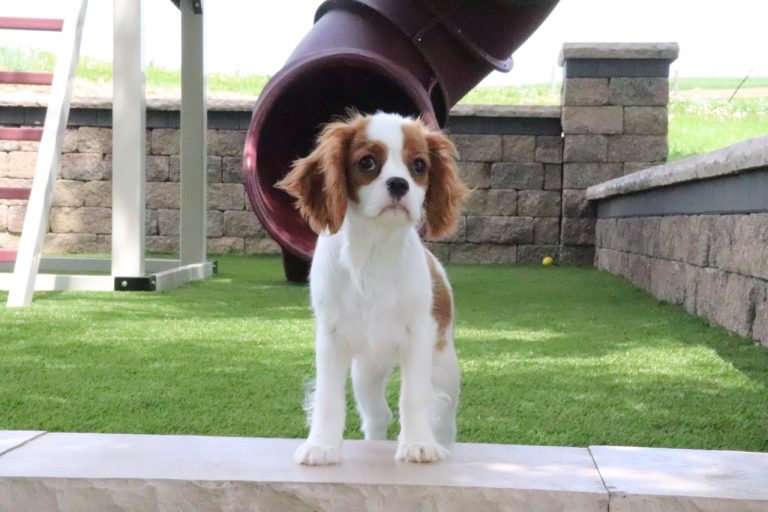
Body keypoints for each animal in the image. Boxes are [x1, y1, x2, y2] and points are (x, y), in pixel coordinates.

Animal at [277, 111, 468, 465]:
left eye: (419, 165)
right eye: (367, 163)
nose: (399, 183)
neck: (375, 248)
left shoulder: (419, 337)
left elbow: (414, 396)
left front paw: (418, 443)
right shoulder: (331, 338)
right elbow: (328, 398)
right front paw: (321, 445)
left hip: (445, 364)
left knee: (445, 415)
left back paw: (442, 443)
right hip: (365, 371)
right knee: (378, 416)